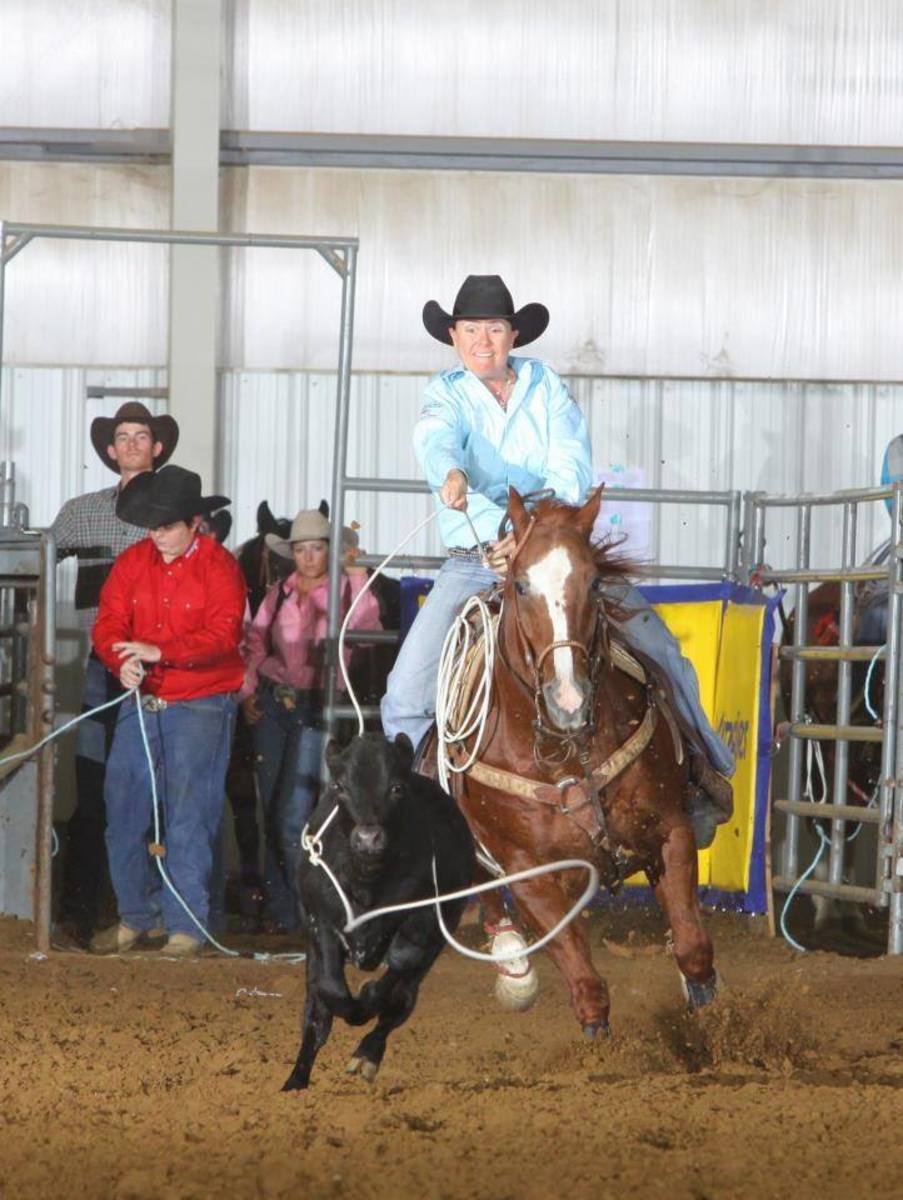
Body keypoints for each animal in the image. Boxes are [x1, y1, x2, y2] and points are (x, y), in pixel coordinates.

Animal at [283, 724, 475, 1094]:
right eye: (339, 787)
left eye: (397, 788)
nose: (368, 838)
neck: (366, 883)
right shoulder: (322, 921)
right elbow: (329, 991)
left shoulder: (424, 920)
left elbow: (400, 967)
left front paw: (370, 995)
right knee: (316, 1017)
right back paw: (295, 1083)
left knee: (400, 1004)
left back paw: (367, 1054)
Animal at [451, 487, 720, 1041]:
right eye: (521, 583)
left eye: (593, 580)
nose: (568, 699)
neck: (565, 751)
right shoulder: (529, 872)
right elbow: (587, 987)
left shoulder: (670, 830)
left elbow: (692, 948)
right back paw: (513, 964)